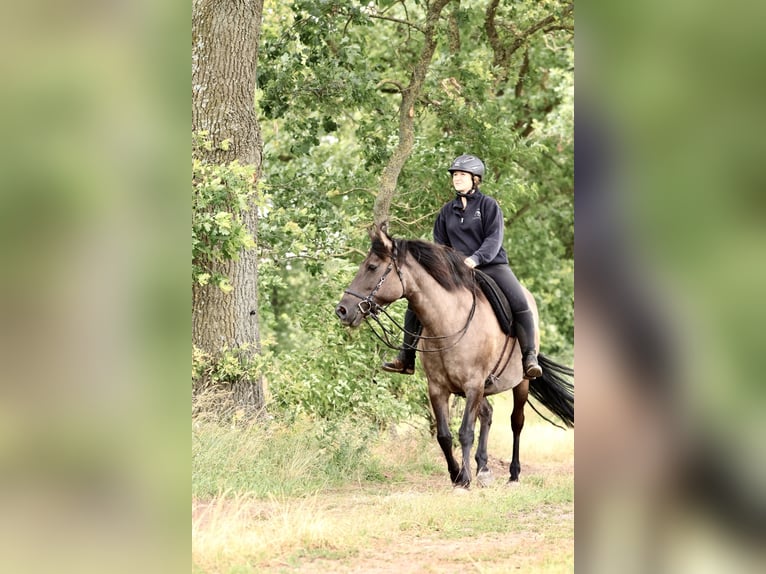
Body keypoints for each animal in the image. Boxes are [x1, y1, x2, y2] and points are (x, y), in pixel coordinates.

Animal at [335, 224, 574, 488]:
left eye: (372, 267)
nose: (342, 310)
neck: (449, 322)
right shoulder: (438, 388)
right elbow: (444, 435)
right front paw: (457, 475)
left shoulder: (472, 386)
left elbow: (465, 433)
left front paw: (465, 479)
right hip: (484, 389)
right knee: (488, 414)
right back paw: (484, 469)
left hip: (520, 383)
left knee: (516, 422)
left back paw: (513, 474)